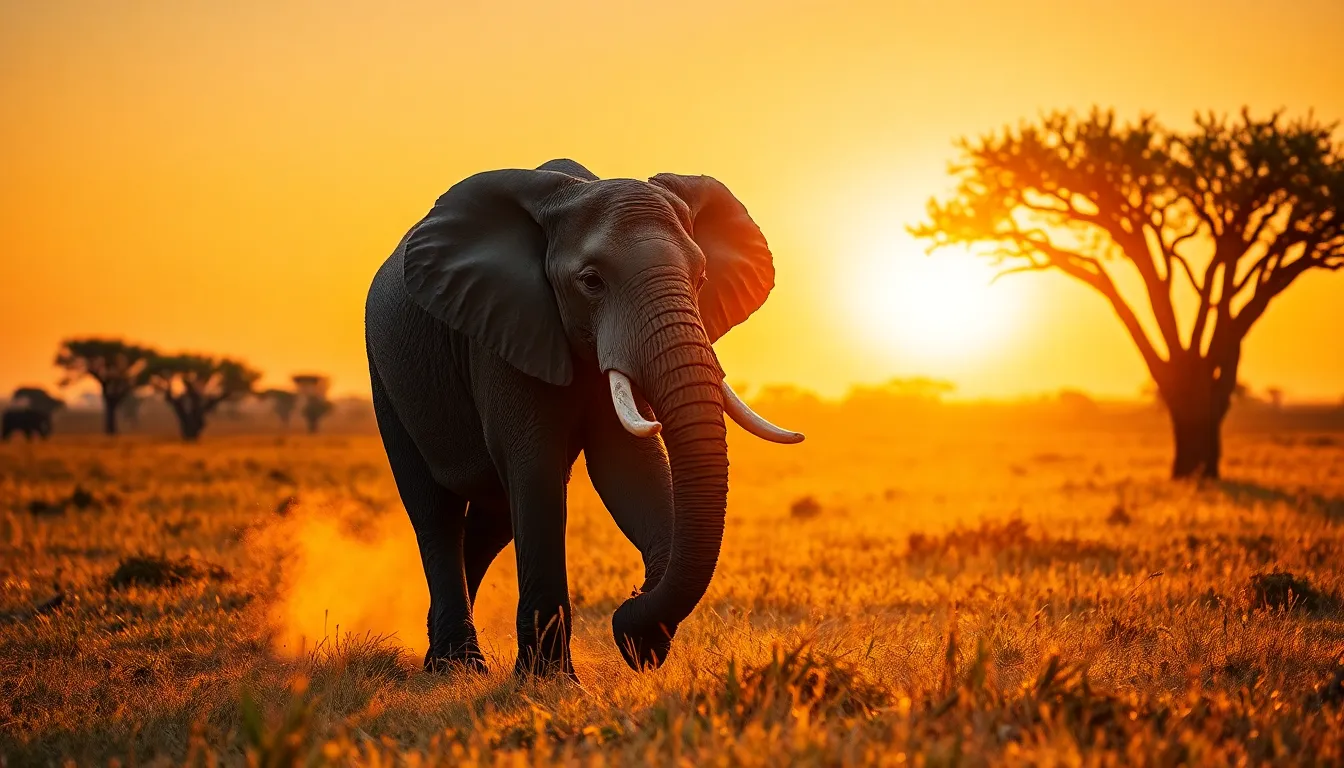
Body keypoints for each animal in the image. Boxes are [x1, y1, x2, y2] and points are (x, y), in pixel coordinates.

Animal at [364, 158, 803, 677]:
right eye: (591, 281)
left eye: (700, 279)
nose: (627, 616)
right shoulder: (503, 330)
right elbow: (535, 468)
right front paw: (550, 682)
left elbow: (630, 469)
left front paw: (637, 641)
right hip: (387, 377)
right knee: (435, 511)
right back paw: (459, 668)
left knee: (494, 518)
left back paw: (440, 658)